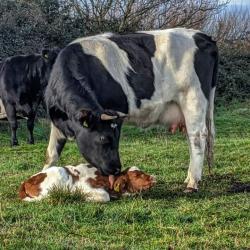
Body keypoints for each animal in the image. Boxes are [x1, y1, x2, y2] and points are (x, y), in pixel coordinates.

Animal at [19, 163, 155, 202]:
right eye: (137, 175)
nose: (153, 177)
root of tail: (25, 181)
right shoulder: (85, 185)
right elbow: (105, 196)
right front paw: (83, 197)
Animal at [45, 28, 219, 191]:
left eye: (113, 138)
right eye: (103, 139)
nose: (116, 169)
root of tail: (203, 35)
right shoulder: (57, 122)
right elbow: (52, 153)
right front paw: (44, 175)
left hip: (193, 98)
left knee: (197, 137)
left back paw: (192, 183)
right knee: (192, 137)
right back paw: (189, 177)